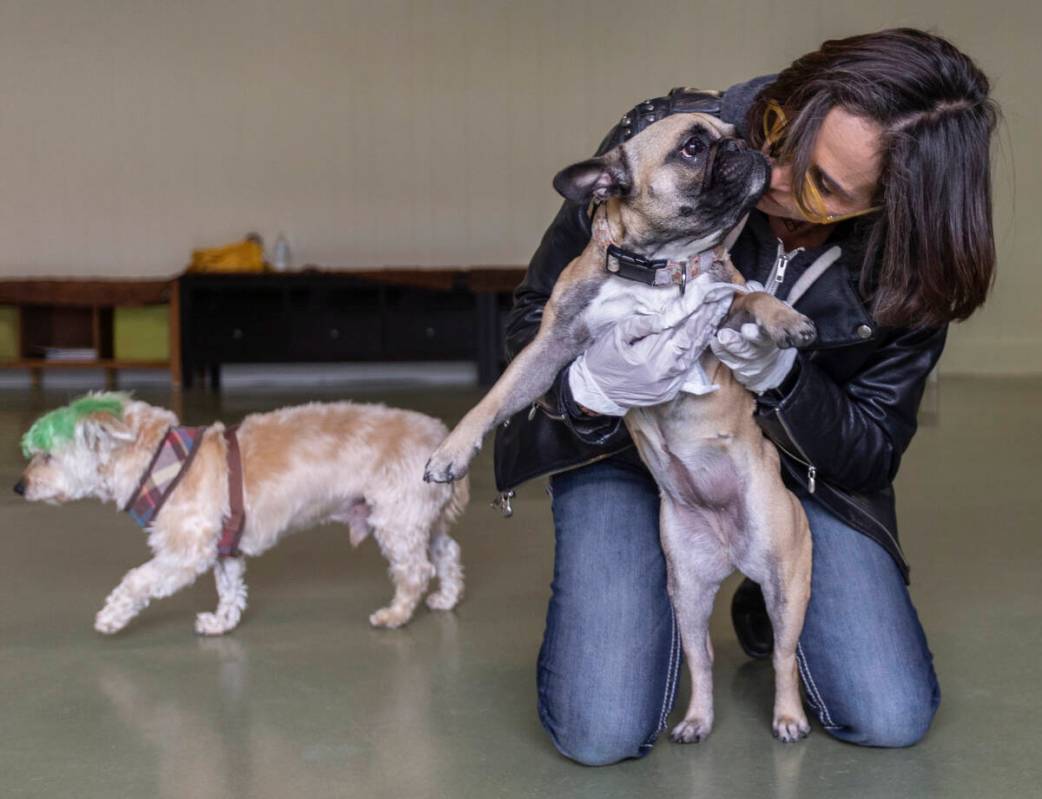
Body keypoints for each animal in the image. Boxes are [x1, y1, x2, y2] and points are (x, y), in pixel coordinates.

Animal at [13, 395, 464, 637]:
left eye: (46, 456)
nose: (18, 486)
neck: (160, 462)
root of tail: (440, 436)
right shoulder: (223, 550)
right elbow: (230, 589)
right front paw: (221, 623)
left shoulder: (185, 552)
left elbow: (136, 580)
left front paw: (110, 616)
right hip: (420, 520)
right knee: (447, 554)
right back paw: (445, 598)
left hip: (396, 521)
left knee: (416, 570)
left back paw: (396, 614)